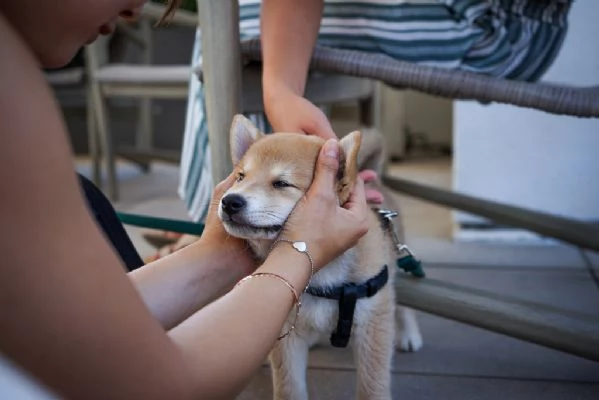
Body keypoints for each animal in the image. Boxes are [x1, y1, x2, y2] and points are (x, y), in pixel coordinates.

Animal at [220, 114, 422, 398]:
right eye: (240, 177)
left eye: (281, 183)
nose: (229, 201)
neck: (322, 272)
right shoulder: (285, 334)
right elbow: (290, 388)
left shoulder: (372, 326)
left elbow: (373, 387)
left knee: (403, 305)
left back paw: (408, 334)